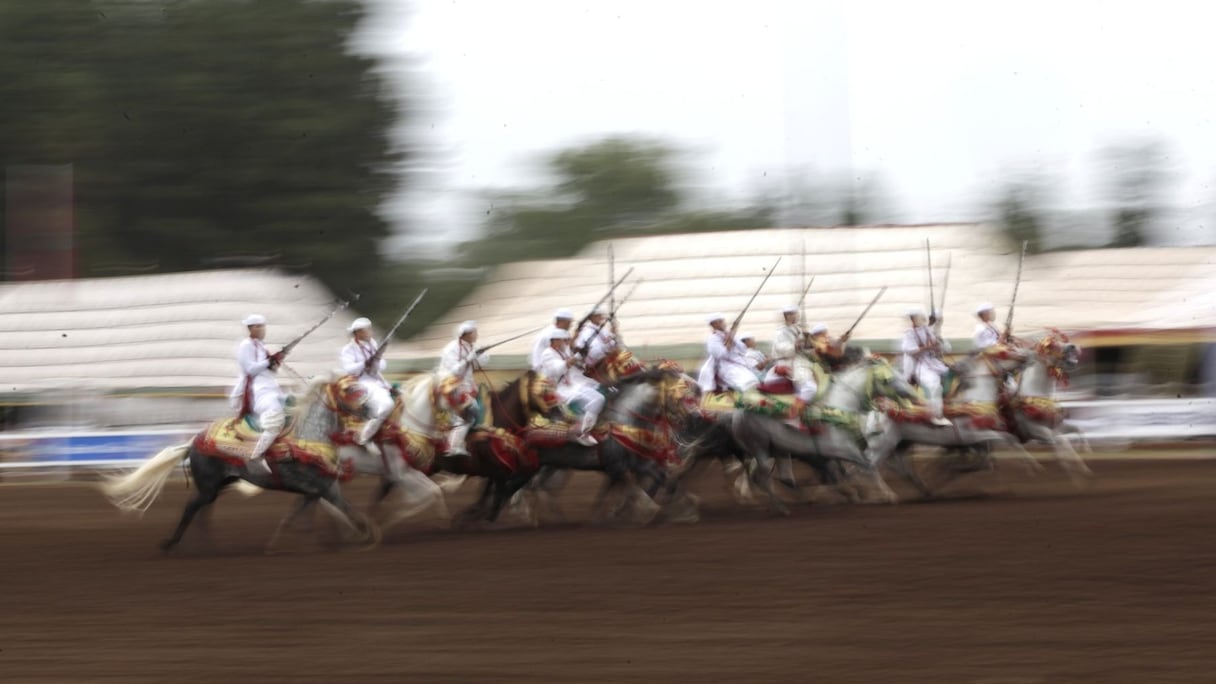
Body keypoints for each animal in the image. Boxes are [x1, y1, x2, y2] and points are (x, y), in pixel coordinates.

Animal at [104, 369, 379, 550]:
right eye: (349, 389)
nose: (371, 409)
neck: (308, 435)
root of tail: (193, 441)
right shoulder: (318, 486)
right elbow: (340, 509)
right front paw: (365, 535)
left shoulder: (322, 486)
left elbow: (312, 511)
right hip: (208, 486)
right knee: (192, 507)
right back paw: (173, 543)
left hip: (221, 484)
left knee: (203, 510)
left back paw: (209, 545)